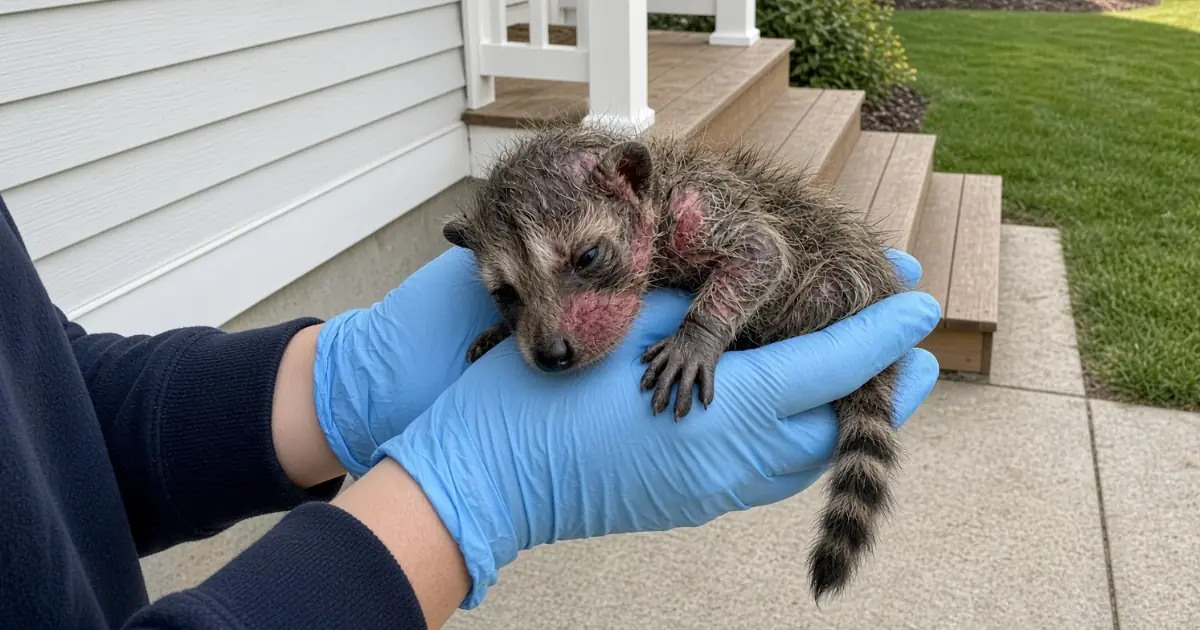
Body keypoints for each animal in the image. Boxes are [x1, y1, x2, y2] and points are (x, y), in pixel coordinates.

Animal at [442, 121, 909, 602]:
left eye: (587, 257)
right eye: (505, 294)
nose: (552, 353)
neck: (656, 200)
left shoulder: (701, 205)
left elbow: (762, 250)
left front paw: (700, 334)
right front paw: (501, 331)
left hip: (835, 278)